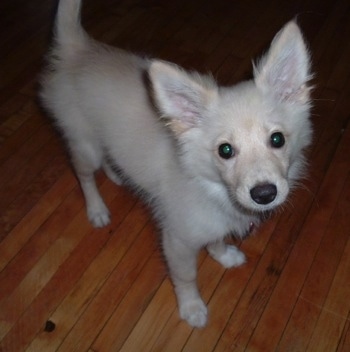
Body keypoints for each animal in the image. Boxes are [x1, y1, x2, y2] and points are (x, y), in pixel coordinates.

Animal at [39, 0, 314, 328]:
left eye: (277, 139)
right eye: (225, 150)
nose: (264, 194)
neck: (211, 188)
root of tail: (78, 49)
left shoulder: (212, 223)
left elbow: (216, 239)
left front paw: (223, 255)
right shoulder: (177, 241)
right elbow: (186, 277)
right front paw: (191, 307)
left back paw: (117, 174)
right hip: (85, 144)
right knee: (84, 175)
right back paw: (97, 209)